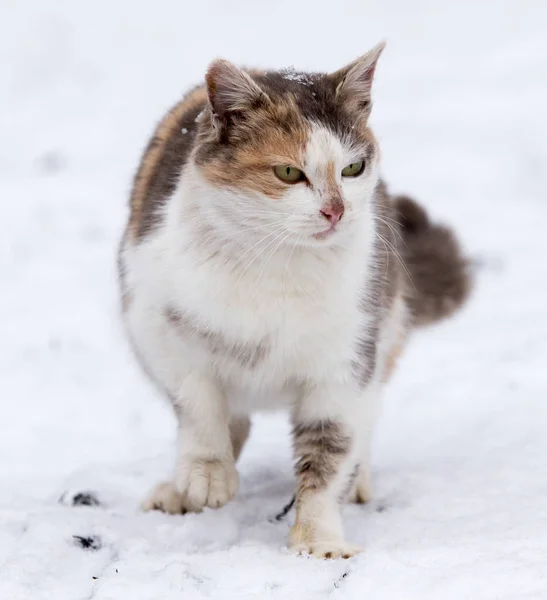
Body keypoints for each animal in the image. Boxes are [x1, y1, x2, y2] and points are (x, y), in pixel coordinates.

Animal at [119, 42, 470, 556]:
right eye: (288, 173)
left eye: (352, 168)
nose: (336, 210)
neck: (277, 266)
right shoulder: (155, 323)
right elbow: (198, 401)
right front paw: (206, 472)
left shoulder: (344, 363)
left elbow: (329, 450)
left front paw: (319, 538)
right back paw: (183, 487)